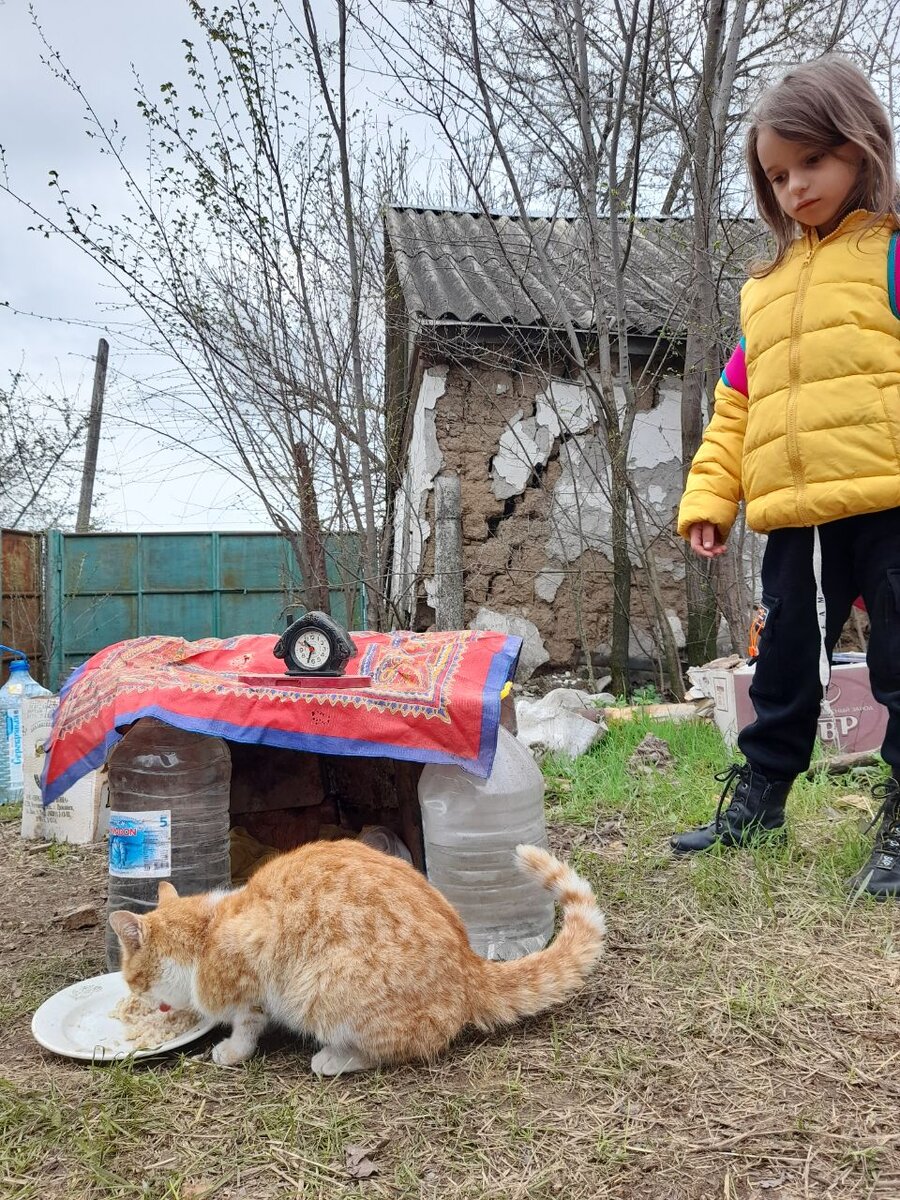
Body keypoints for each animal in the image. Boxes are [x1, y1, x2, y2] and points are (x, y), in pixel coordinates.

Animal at [112, 840, 607, 1075]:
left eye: (132, 980)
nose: (138, 999)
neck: (207, 933)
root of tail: (471, 966)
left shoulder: (252, 971)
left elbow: (247, 1024)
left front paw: (232, 1050)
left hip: (324, 992)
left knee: (403, 1050)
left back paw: (334, 1059)